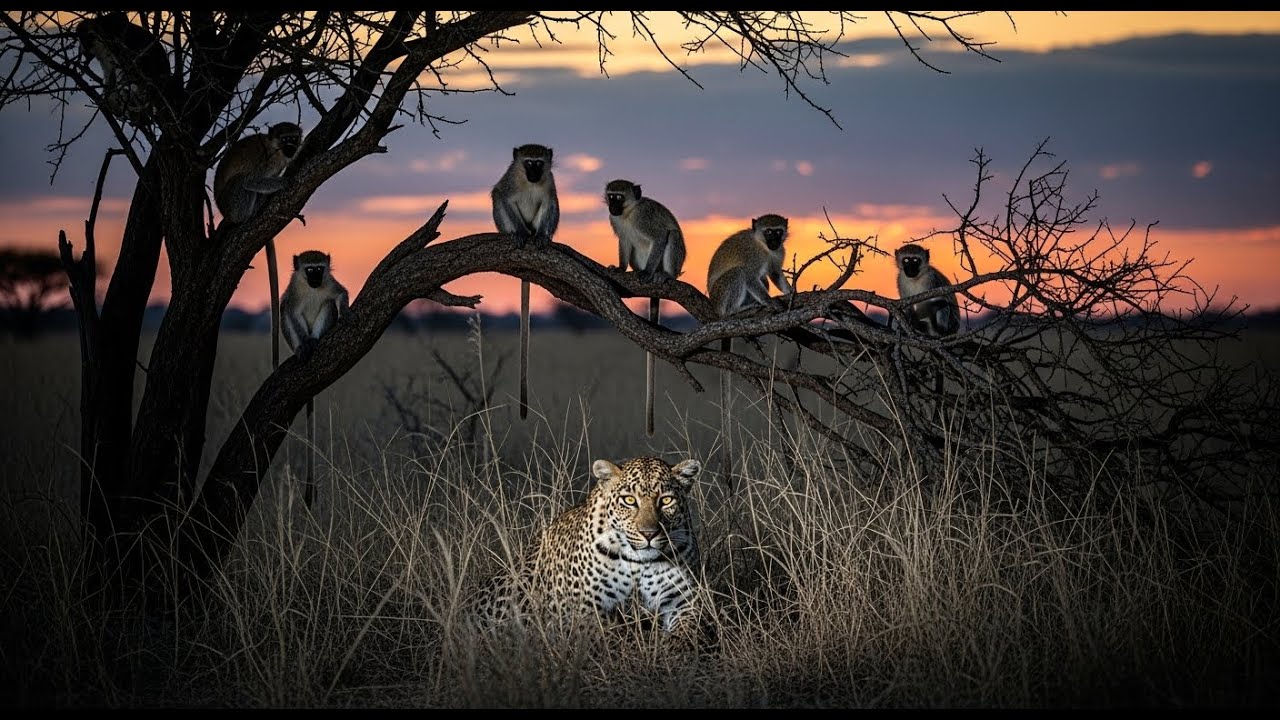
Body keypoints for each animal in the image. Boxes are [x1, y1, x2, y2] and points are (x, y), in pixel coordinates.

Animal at [214, 122, 305, 373]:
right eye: (285, 139)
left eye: (294, 138)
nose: (292, 147)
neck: (276, 150)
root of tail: (227, 213)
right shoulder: (267, 162)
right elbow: (251, 181)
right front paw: (283, 183)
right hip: (234, 203)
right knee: (242, 181)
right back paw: (253, 211)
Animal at [280, 250, 349, 509]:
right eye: (309, 270)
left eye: (319, 269)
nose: (316, 279)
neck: (311, 288)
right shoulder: (293, 290)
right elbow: (290, 310)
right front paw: (303, 346)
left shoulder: (330, 284)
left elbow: (339, 294)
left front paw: (346, 311)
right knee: (284, 311)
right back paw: (303, 347)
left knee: (328, 305)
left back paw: (315, 340)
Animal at [490, 144, 560, 421]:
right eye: (528, 163)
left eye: (539, 163)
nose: (533, 174)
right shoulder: (510, 180)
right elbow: (502, 196)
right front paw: (518, 232)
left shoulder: (549, 180)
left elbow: (551, 202)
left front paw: (543, 237)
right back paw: (518, 233)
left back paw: (539, 235)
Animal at [605, 179, 687, 436]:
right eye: (611, 196)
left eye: (619, 197)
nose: (612, 207)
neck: (629, 213)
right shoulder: (615, 222)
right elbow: (624, 241)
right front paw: (620, 268)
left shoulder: (645, 218)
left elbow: (660, 236)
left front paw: (649, 272)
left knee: (672, 236)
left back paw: (662, 275)